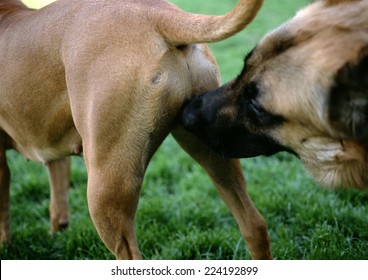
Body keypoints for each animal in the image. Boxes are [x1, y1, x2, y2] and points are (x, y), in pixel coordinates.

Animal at [0, 0, 274, 260]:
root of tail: (156, 12)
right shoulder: (53, 152)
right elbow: (58, 201)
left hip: (105, 186)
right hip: (213, 149)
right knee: (254, 224)